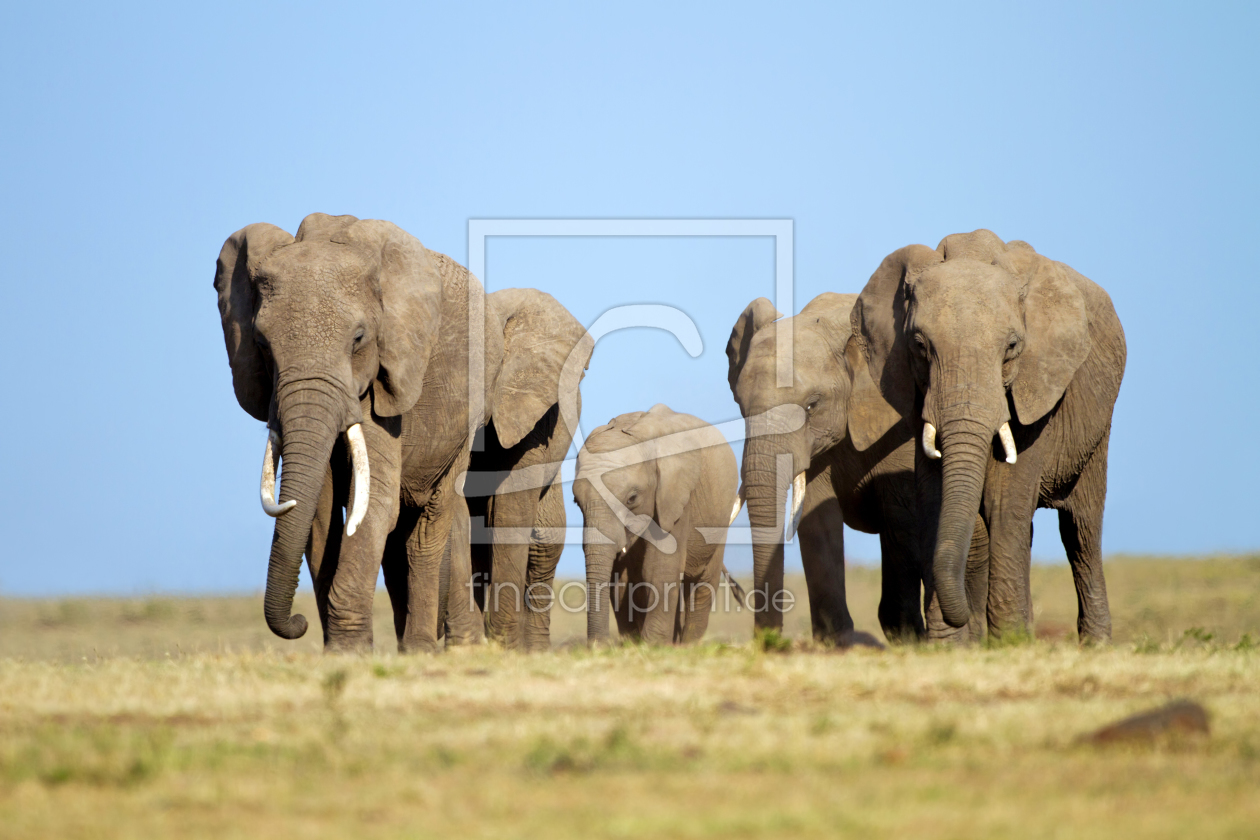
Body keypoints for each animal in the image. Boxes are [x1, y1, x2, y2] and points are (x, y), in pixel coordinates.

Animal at [214, 214, 592, 654]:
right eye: (260, 343)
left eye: (359, 339)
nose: (298, 622)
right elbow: (321, 510)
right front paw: (341, 652)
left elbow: (379, 500)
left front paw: (350, 651)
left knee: (437, 521)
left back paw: (428, 647)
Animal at [577, 402, 740, 649]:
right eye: (576, 502)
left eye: (632, 498)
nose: (599, 646)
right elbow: (621, 579)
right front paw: (634, 643)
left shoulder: (675, 497)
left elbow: (659, 568)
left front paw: (652, 646)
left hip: (720, 516)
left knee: (702, 583)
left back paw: (687, 646)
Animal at [851, 230, 1128, 644]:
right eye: (920, 345)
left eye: (1012, 347)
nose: (962, 618)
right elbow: (937, 499)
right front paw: (952, 645)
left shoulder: (1036, 384)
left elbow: (1004, 502)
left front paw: (1010, 641)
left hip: (1098, 426)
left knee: (1081, 531)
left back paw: (1094, 644)